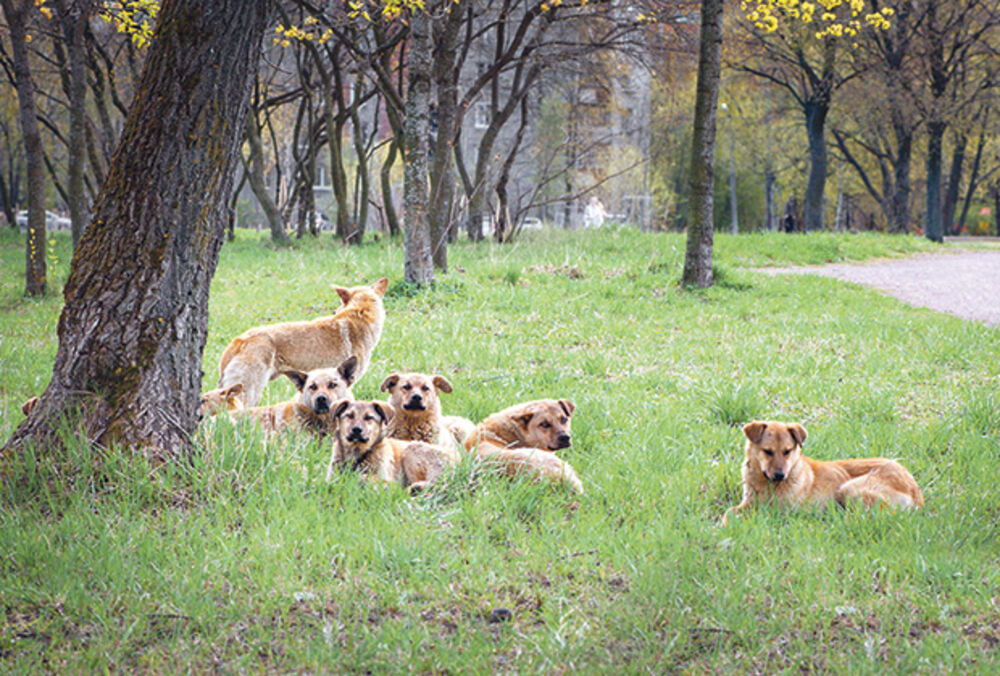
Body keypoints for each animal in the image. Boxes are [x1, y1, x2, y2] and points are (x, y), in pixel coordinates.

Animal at [328, 398, 460, 494]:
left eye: (369, 418)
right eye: (349, 415)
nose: (356, 430)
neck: (358, 452)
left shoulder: (386, 478)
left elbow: (366, 477)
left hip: (412, 451)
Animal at [720, 420, 920, 524]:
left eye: (787, 451)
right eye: (767, 452)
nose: (780, 475)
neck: (767, 484)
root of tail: (916, 491)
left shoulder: (780, 510)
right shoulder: (748, 502)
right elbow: (729, 512)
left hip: (850, 488)